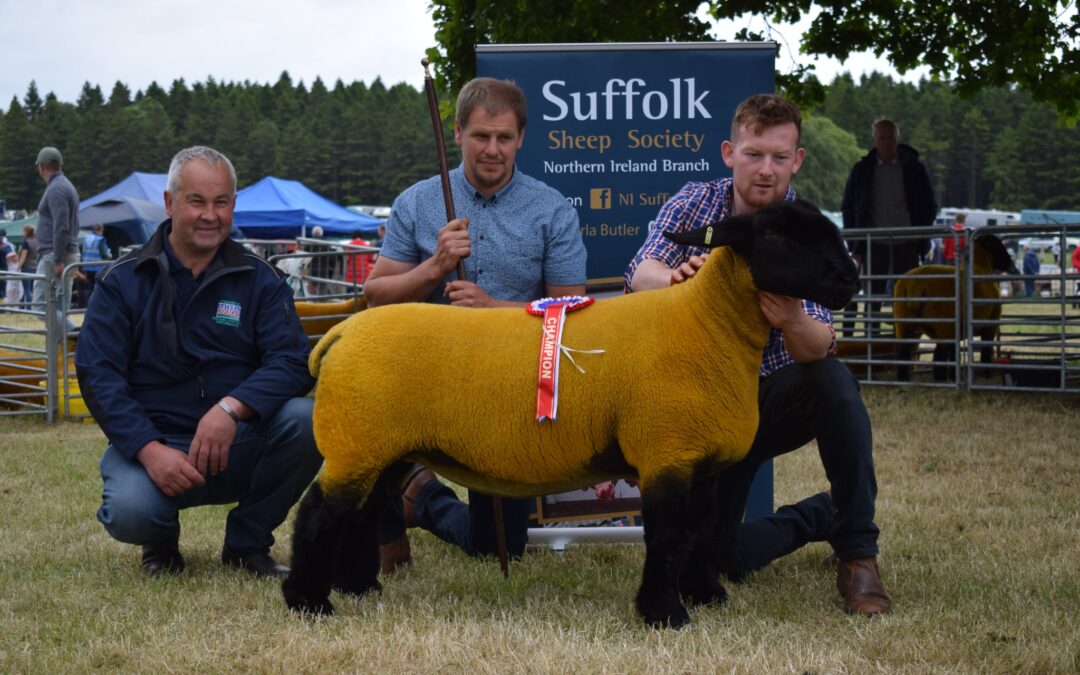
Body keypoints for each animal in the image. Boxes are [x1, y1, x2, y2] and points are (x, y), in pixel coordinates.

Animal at [282, 198, 855, 626]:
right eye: (774, 235)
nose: (849, 277)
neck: (706, 325)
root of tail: (339, 333)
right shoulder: (664, 454)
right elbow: (669, 536)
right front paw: (664, 614)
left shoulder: (702, 464)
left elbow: (701, 531)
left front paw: (706, 595)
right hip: (355, 441)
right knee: (319, 512)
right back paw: (310, 602)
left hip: (384, 448)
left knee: (361, 512)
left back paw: (359, 587)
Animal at [889, 231, 1015, 380]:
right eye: (998, 245)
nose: (1009, 262)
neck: (980, 266)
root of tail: (915, 284)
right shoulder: (990, 325)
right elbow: (985, 351)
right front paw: (986, 373)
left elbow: (954, 354)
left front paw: (954, 376)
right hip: (944, 326)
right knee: (938, 355)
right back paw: (940, 379)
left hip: (903, 322)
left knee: (903, 353)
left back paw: (904, 379)